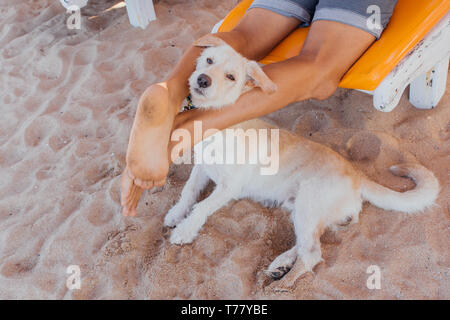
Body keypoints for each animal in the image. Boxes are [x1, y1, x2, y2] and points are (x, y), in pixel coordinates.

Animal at [164, 35, 440, 284]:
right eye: (208, 60)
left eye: (231, 77)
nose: (202, 80)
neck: (220, 126)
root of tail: (357, 175)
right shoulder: (202, 167)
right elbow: (188, 192)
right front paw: (176, 214)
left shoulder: (228, 187)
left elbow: (202, 207)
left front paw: (186, 230)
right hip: (301, 210)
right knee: (307, 243)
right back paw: (280, 264)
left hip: (308, 203)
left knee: (312, 253)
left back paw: (283, 282)